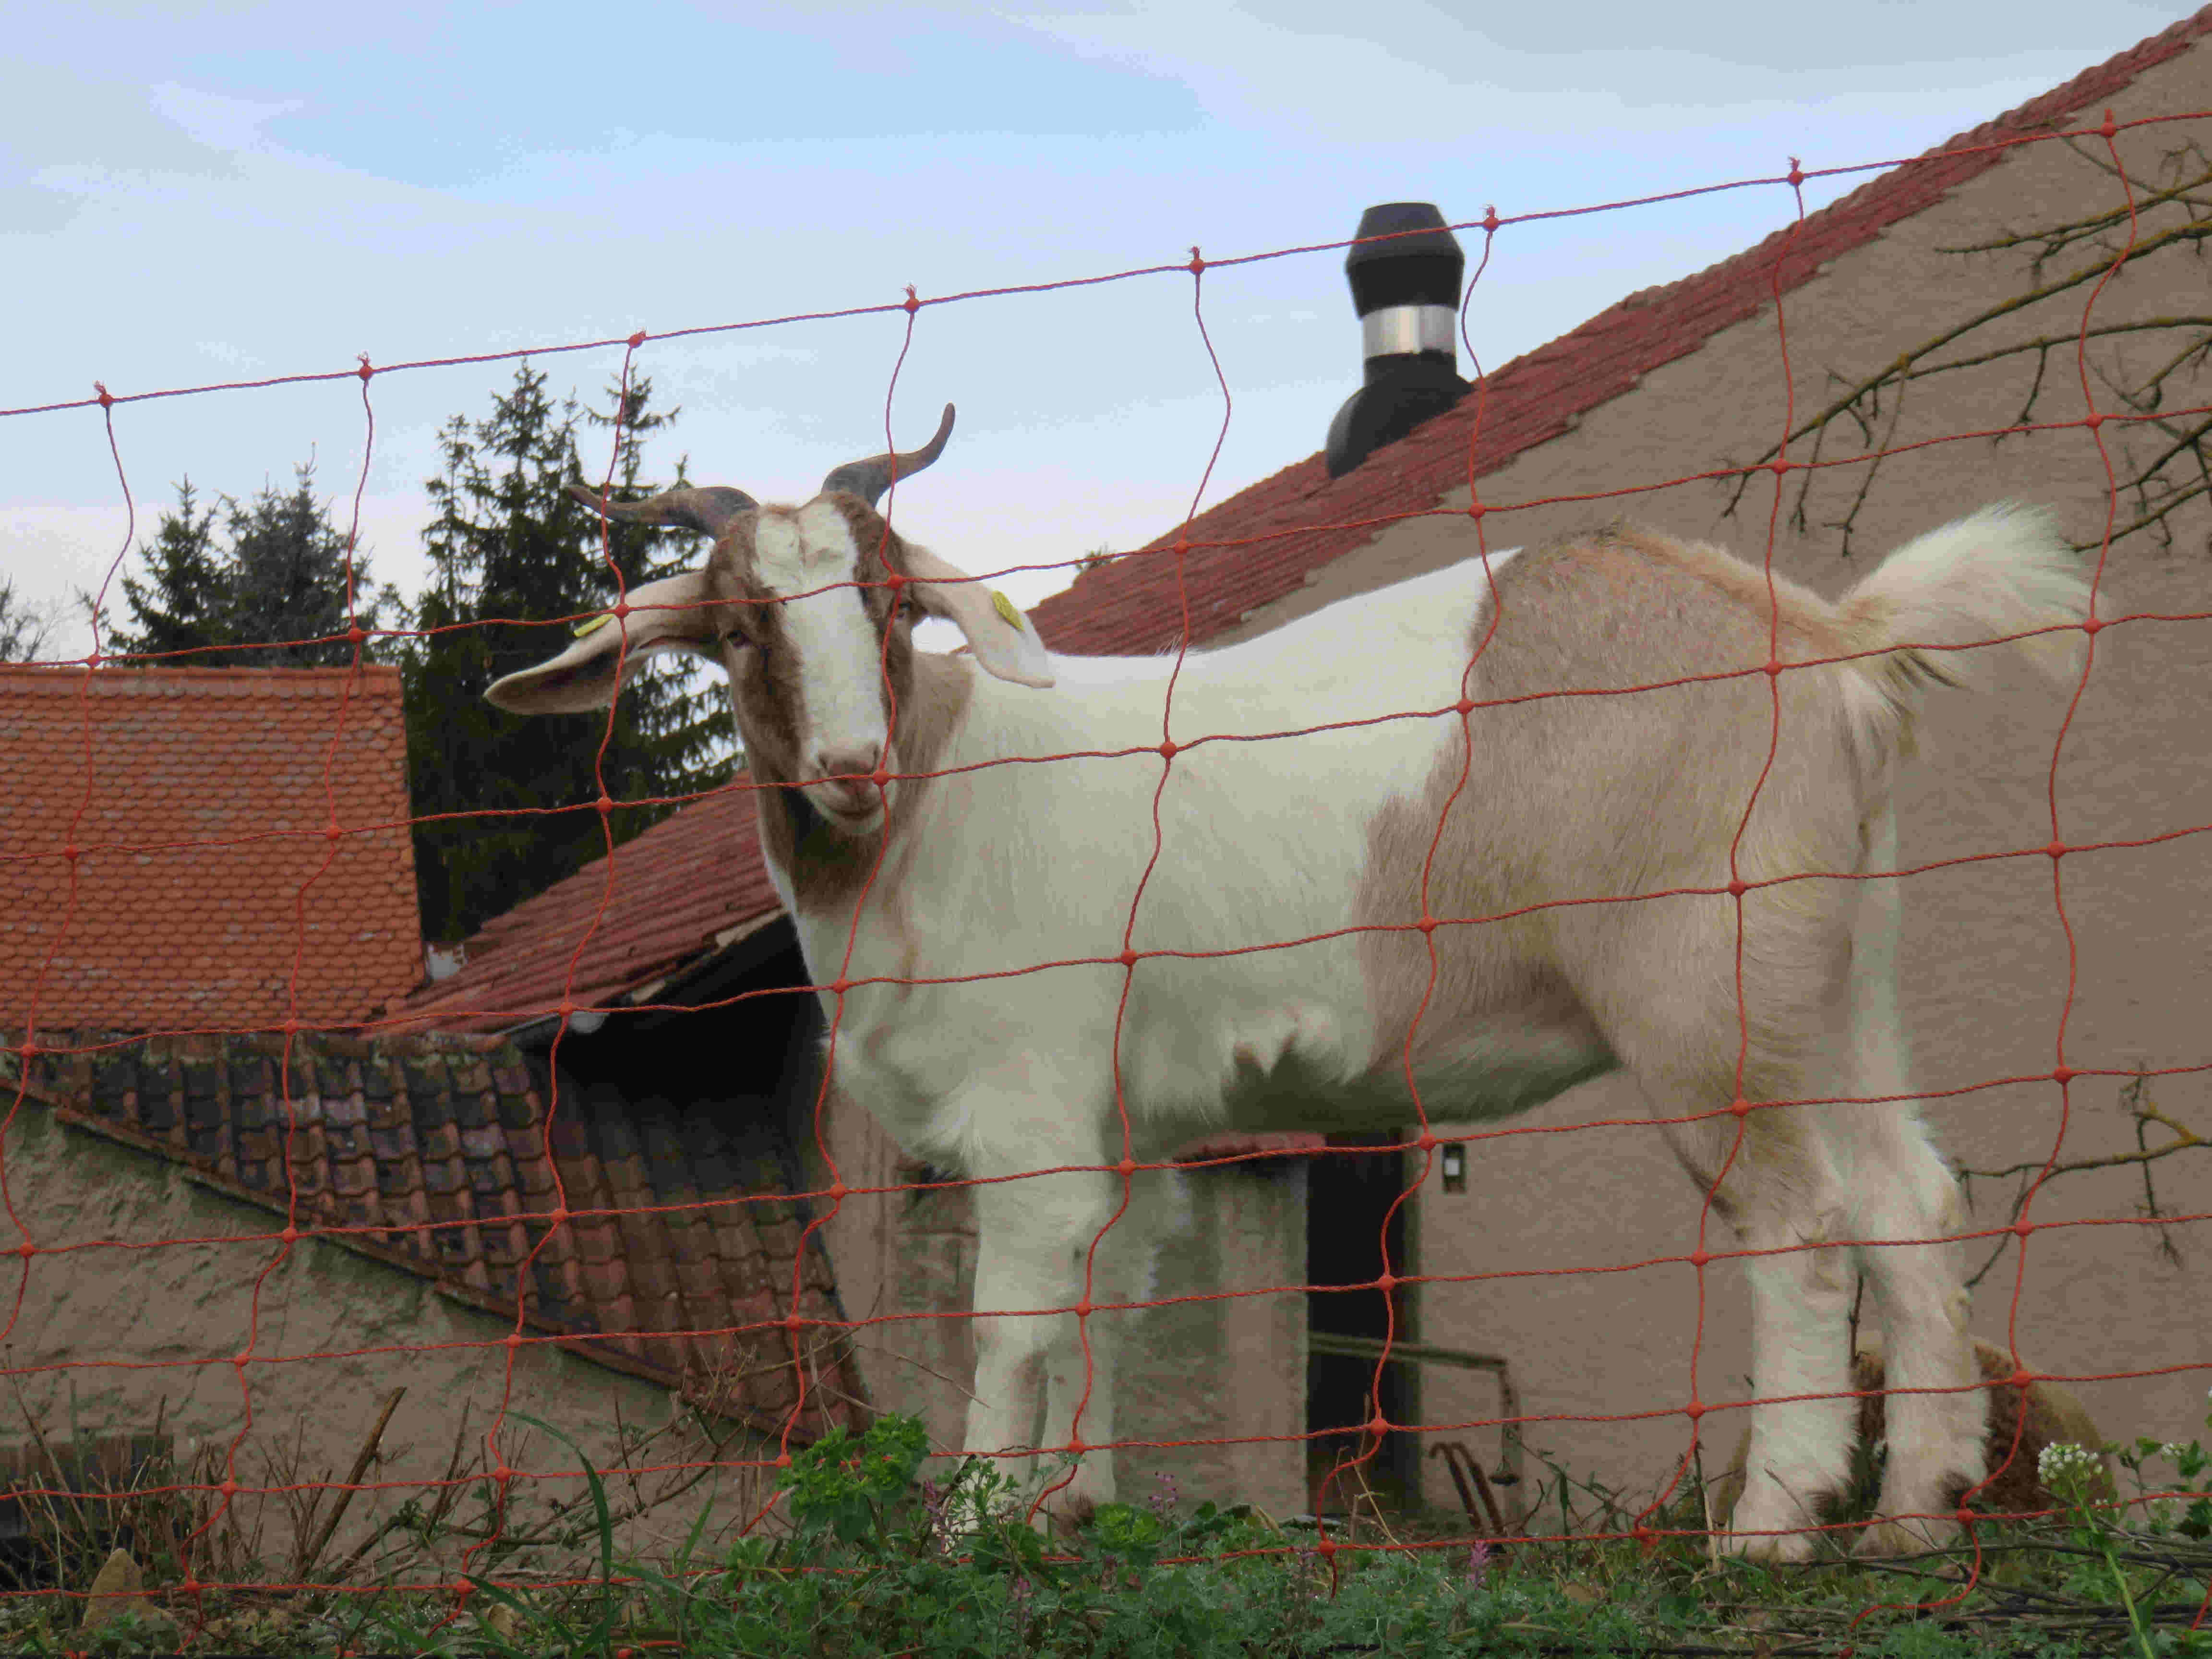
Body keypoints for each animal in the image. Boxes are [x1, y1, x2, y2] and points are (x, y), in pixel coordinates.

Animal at [486, 404, 2088, 1559]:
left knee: (1799, 1228)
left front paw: (979, 1522)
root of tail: (1831, 646)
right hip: (1836, 979)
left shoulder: (1031, 1107)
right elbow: (1108, 1303)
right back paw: (1911, 1518)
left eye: (889, 607)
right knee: (1907, 1200)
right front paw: (1073, 1508)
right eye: (741, 624)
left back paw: (1771, 1528)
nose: (849, 767)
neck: (935, 806)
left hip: (1706, 992)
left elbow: (1014, 1319)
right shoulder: (1127, 1130)